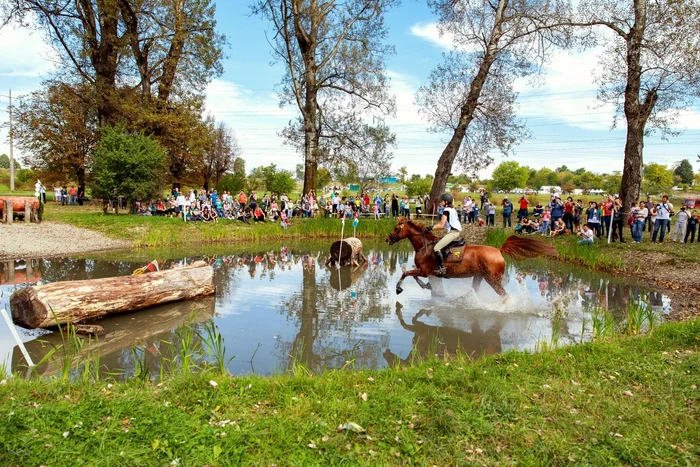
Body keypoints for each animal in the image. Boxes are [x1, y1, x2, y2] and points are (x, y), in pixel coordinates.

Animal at [386, 217, 557, 296]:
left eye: (396, 228)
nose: (387, 239)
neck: (424, 245)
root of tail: (498, 250)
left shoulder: (424, 270)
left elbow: (406, 273)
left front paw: (398, 288)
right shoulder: (425, 271)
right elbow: (412, 275)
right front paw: (427, 286)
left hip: (492, 279)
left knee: (504, 295)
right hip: (479, 276)